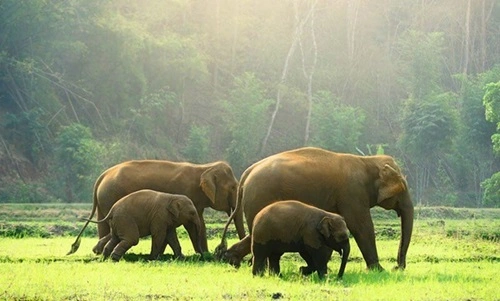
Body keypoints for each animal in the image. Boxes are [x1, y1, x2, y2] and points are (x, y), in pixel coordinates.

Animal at [67, 159, 245, 255]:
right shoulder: (186, 193)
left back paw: (98, 251)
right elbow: (191, 225)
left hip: (104, 199)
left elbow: (199, 223)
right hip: (109, 195)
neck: (203, 167)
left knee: (103, 223)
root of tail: (102, 175)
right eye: (233, 188)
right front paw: (203, 254)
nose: (220, 249)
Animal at [217, 146, 416, 270]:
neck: (368, 161)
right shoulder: (353, 192)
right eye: (402, 189)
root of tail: (247, 172)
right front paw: (379, 270)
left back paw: (231, 259)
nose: (398, 267)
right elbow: (361, 226)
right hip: (260, 195)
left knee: (255, 232)